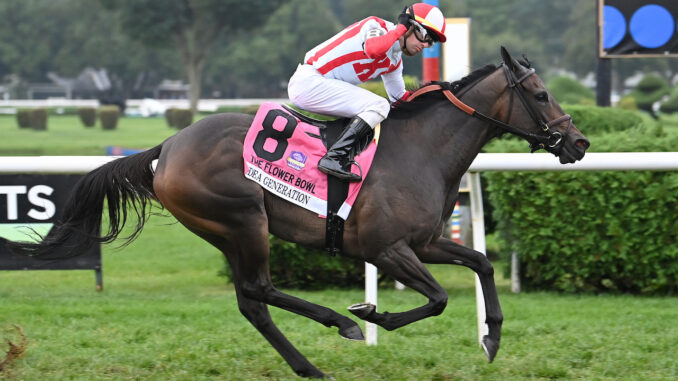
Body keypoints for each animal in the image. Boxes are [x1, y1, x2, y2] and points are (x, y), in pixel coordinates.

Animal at [3, 48, 588, 378]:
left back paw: (308, 366)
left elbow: (481, 263)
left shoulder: (424, 242)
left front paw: (491, 337)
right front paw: (371, 315)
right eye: (541, 94)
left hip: (225, 231)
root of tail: (165, 147)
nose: (579, 142)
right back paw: (338, 324)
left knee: (252, 302)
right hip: (243, 220)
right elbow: (439, 298)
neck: (421, 149)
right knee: (260, 289)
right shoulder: (387, 248)